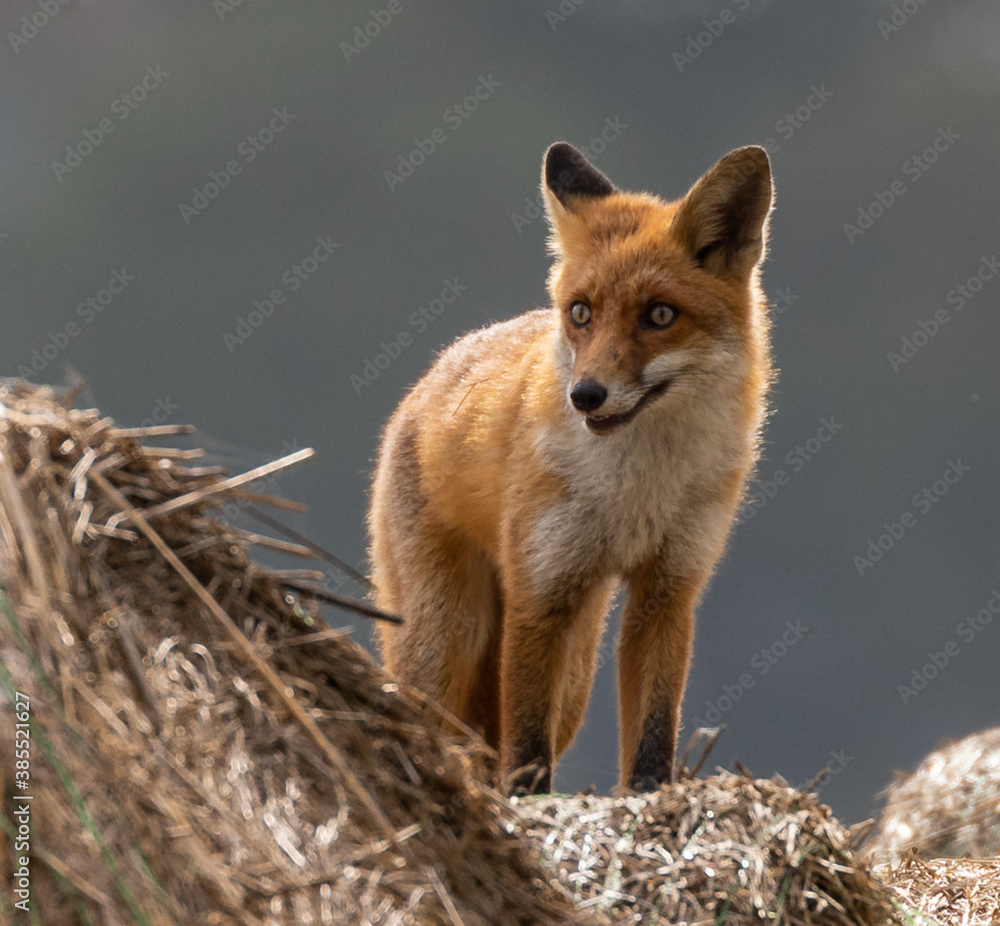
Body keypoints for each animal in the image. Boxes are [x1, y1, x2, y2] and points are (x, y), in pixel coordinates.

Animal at [369, 141, 774, 794]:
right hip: (447, 638)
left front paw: (649, 799)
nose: (585, 395)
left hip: (577, 668)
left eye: (660, 315)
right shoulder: (540, 591)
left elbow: (654, 732)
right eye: (581, 313)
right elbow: (526, 747)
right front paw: (527, 805)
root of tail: (432, 373)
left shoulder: (670, 587)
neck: (639, 487)